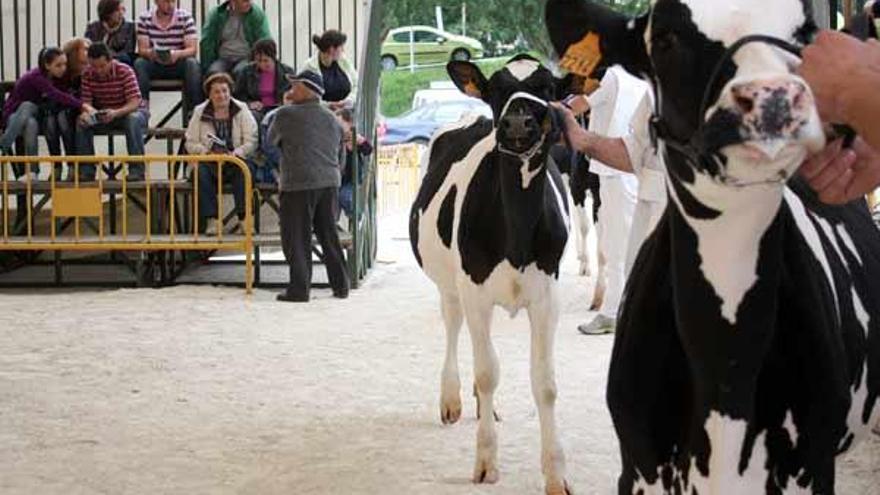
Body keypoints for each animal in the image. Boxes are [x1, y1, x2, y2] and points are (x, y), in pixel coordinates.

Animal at [410, 53, 576, 492]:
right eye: (497, 89)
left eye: (547, 88)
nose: (517, 123)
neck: (515, 233)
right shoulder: (475, 291)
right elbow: (487, 373)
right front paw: (486, 460)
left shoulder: (547, 297)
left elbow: (546, 384)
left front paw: (556, 473)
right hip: (451, 286)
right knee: (454, 327)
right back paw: (452, 398)